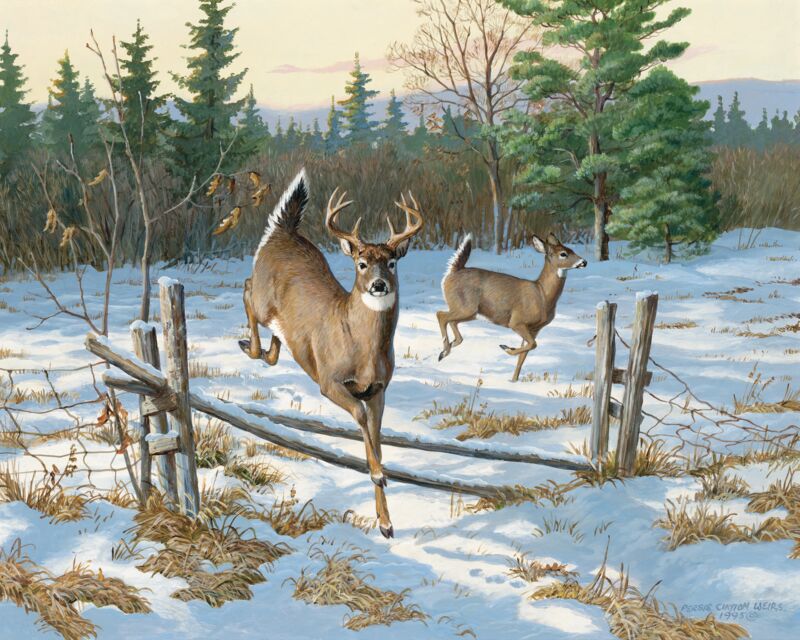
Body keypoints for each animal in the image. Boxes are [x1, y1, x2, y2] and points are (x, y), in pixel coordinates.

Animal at [239, 169, 424, 538]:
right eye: (362, 263)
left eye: (392, 262)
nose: (379, 285)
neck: (361, 349)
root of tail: (281, 232)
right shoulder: (330, 381)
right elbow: (361, 419)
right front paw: (378, 474)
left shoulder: (379, 389)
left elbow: (377, 437)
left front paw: (386, 523)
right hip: (263, 297)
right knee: (246, 289)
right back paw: (248, 345)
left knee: (276, 340)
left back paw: (268, 350)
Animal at [436, 233, 587, 382]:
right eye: (563, 254)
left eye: (571, 250)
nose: (584, 262)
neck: (542, 295)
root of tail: (453, 272)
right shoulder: (516, 322)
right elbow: (532, 345)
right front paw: (506, 348)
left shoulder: (534, 328)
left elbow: (525, 353)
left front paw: (513, 380)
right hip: (466, 307)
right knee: (441, 315)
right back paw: (444, 351)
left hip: (468, 311)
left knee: (452, 322)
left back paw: (445, 350)